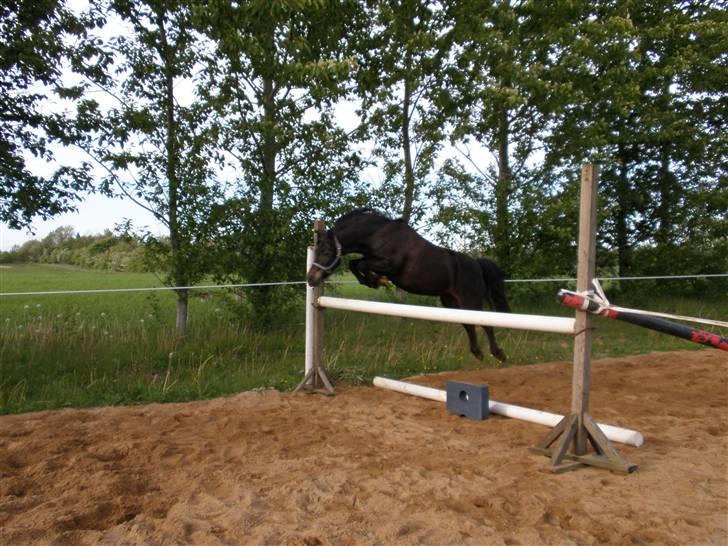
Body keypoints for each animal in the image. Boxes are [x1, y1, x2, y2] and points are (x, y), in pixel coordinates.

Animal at [306, 208, 511, 362]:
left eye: (326, 252)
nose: (311, 279)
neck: (378, 234)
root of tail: (477, 264)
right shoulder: (371, 259)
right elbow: (354, 264)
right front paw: (374, 281)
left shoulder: (389, 265)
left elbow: (361, 264)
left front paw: (377, 280)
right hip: (451, 302)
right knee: (468, 324)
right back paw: (478, 352)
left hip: (470, 300)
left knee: (485, 323)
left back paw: (498, 353)